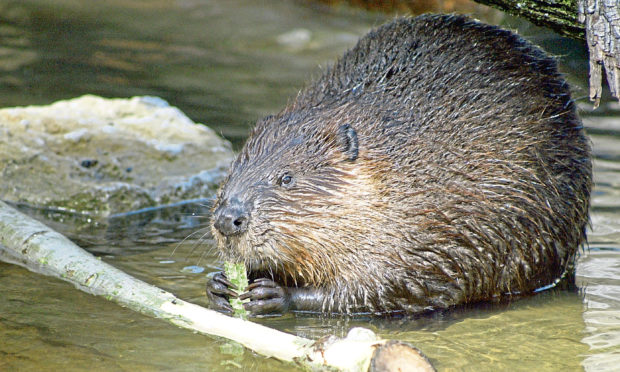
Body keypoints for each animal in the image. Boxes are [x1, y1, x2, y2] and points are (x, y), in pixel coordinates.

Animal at [207, 15, 592, 316]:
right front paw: (218, 284)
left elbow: (382, 288)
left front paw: (276, 294)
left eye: (286, 178)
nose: (228, 219)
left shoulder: (421, 236)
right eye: (232, 169)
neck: (397, 164)